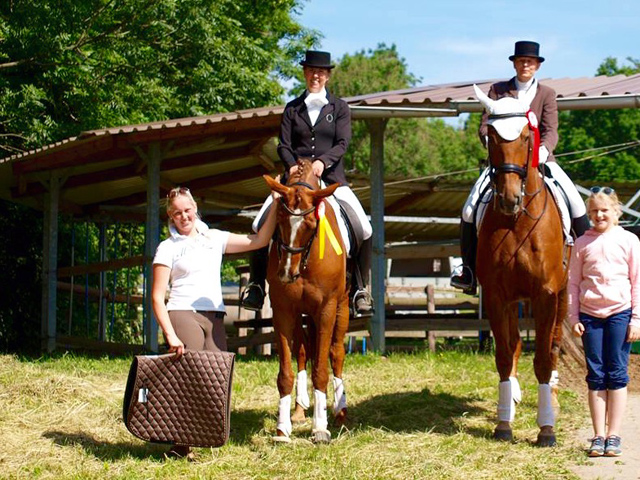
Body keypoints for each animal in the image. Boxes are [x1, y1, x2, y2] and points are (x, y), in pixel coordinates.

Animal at [262, 159, 350, 444]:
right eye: (279, 220)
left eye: (311, 224)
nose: (287, 273)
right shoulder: (283, 310)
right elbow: (285, 373)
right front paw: (282, 429)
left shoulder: (327, 308)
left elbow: (321, 368)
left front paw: (320, 427)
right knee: (302, 352)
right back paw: (300, 409)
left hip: (342, 307)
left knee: (336, 353)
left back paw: (340, 410)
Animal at [472, 83, 568, 446]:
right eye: (491, 137)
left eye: (528, 135)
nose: (509, 199)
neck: (518, 222)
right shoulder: (497, 296)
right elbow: (503, 355)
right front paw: (503, 424)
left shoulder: (546, 295)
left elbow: (542, 358)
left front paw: (546, 428)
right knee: (513, 346)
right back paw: (511, 399)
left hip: (563, 297)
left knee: (553, 345)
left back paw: (551, 396)